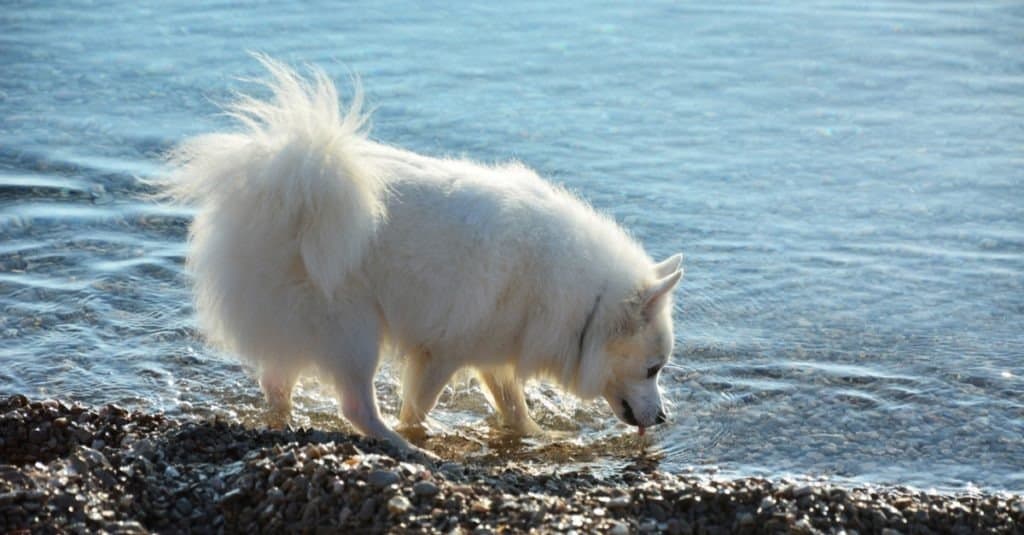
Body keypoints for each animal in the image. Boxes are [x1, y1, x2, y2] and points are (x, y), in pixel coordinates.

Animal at [165, 57, 679, 448]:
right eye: (653, 369)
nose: (663, 419)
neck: (585, 301)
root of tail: (283, 187)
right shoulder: (441, 352)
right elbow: (418, 405)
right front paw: (418, 430)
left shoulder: (493, 351)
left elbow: (512, 405)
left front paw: (536, 435)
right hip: (353, 330)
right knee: (355, 405)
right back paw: (403, 445)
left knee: (275, 384)